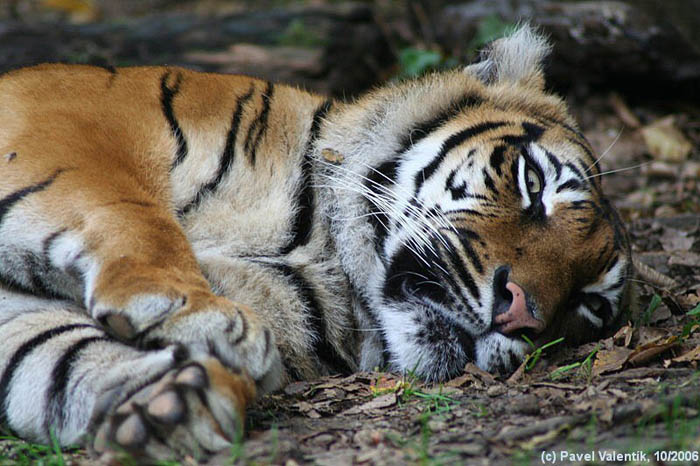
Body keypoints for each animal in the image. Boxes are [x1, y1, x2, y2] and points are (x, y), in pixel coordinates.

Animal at [0, 25, 633, 461]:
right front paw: (210, 319)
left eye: (589, 305)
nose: (520, 315)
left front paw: (171, 404)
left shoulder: (21, 309)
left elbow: (56, 354)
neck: (320, 249)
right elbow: (130, 211)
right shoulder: (72, 121)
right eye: (534, 185)